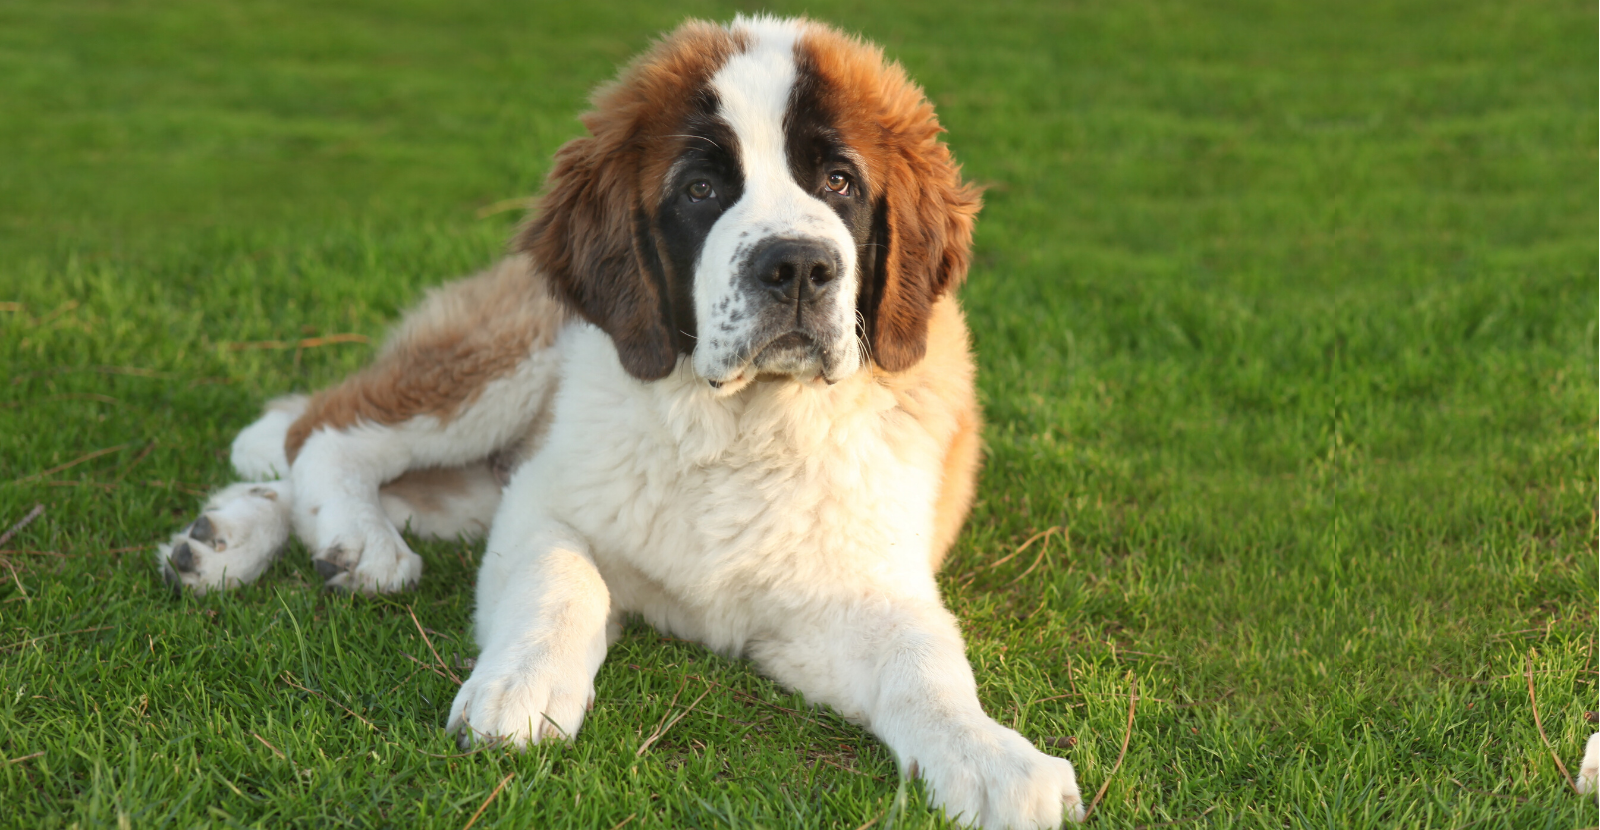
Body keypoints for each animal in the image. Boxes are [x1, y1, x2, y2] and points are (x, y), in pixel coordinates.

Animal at [156, 16, 1088, 825]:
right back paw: (353, 541)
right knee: (329, 428)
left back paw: (227, 534)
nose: (796, 267)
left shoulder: (850, 593)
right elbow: (567, 580)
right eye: (702, 190)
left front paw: (992, 759)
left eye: (839, 183)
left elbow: (922, 662)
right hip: (514, 356)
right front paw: (523, 687)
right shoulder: (544, 500)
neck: (742, 422)